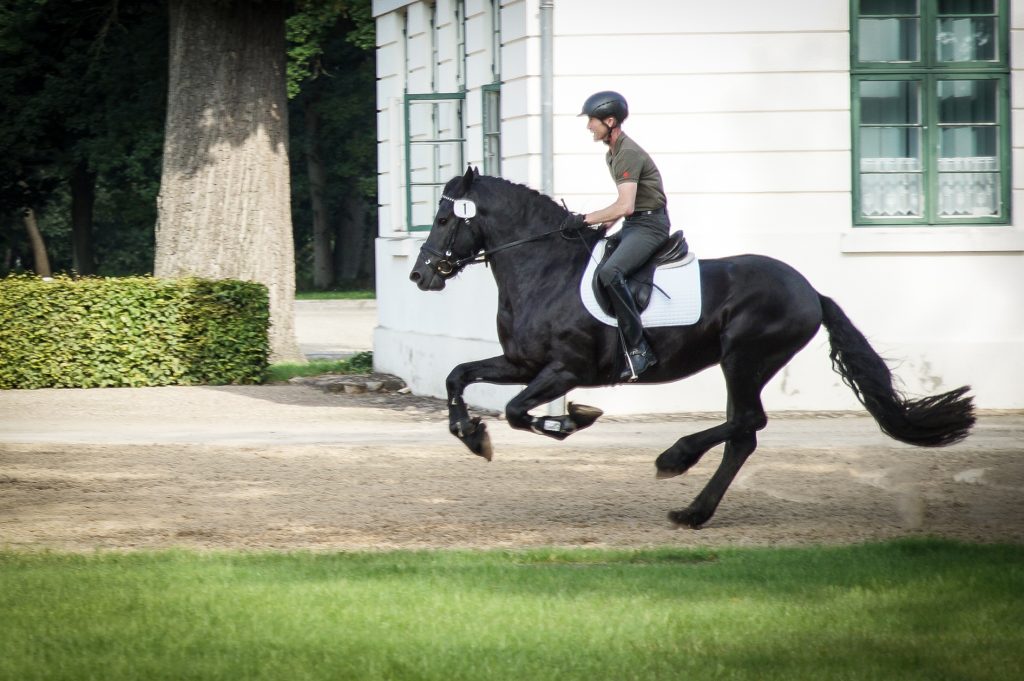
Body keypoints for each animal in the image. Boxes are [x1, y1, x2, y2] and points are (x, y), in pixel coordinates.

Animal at [407, 166, 974, 528]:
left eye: (443, 220)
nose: (419, 276)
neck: (544, 268)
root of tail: (810, 291)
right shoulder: (522, 363)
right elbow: (459, 375)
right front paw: (470, 434)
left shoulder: (563, 370)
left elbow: (516, 412)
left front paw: (572, 421)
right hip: (741, 364)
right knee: (743, 433)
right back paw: (693, 512)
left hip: (744, 359)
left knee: (747, 422)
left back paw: (675, 459)